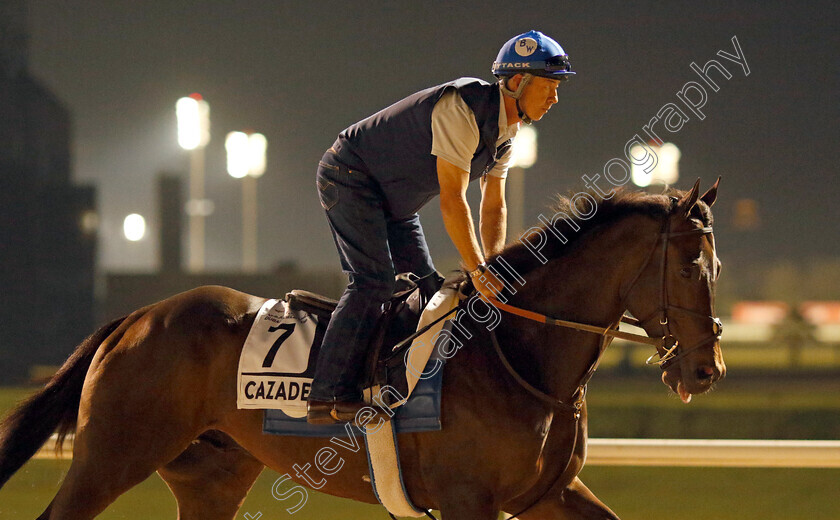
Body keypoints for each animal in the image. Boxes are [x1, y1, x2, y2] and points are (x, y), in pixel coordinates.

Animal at [0, 181, 720, 516]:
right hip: (112, 457)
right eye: (689, 267)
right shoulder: (468, 499)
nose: (705, 370)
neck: (519, 355)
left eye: (715, 266)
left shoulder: (549, 495)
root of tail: (137, 316)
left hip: (210, 476)